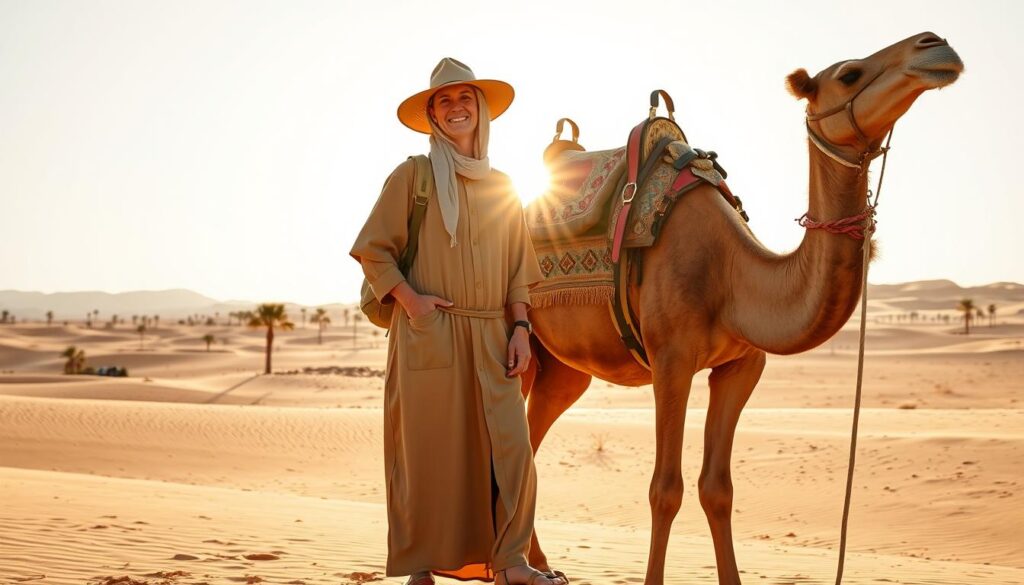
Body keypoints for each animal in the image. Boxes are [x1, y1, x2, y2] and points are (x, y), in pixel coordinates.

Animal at [521, 32, 963, 584]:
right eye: (849, 75)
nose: (936, 44)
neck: (734, 276)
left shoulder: (742, 365)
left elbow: (718, 489)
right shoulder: (671, 360)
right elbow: (665, 489)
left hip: (561, 364)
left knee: (531, 438)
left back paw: (540, 566)